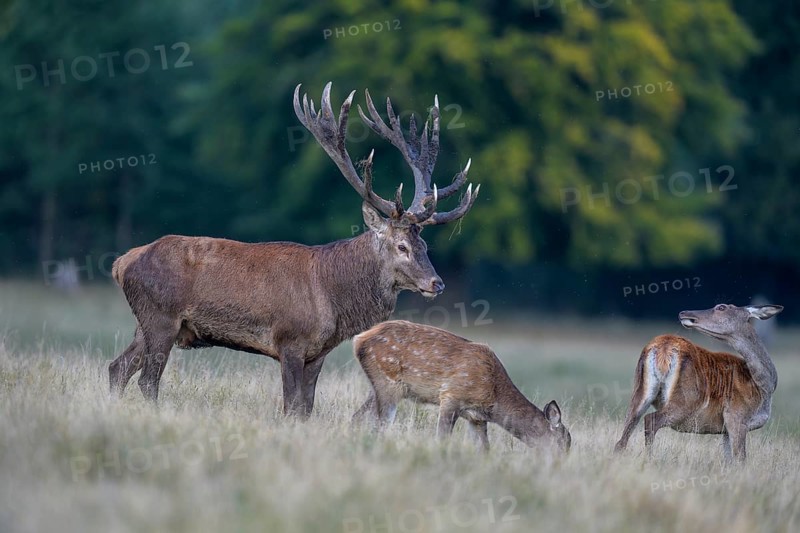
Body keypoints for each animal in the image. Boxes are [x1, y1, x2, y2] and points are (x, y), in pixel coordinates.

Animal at [108, 82, 480, 417]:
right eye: (401, 246)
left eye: (424, 244)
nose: (437, 283)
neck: (332, 295)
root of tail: (121, 263)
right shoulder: (289, 340)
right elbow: (290, 405)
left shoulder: (318, 352)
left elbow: (305, 408)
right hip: (161, 317)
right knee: (147, 380)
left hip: (146, 322)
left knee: (117, 368)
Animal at [351, 320, 572, 453]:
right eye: (563, 442)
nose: (559, 465)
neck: (494, 397)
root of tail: (359, 339)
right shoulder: (451, 395)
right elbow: (442, 437)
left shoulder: (476, 418)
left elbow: (484, 449)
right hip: (387, 382)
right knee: (380, 424)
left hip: (378, 386)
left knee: (358, 417)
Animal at [614, 303, 783, 463]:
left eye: (721, 307)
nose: (684, 312)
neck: (764, 387)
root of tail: (663, 346)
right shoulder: (736, 416)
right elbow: (740, 460)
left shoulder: (725, 429)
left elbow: (728, 461)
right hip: (686, 399)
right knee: (650, 420)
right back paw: (649, 459)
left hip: (639, 391)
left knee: (623, 437)